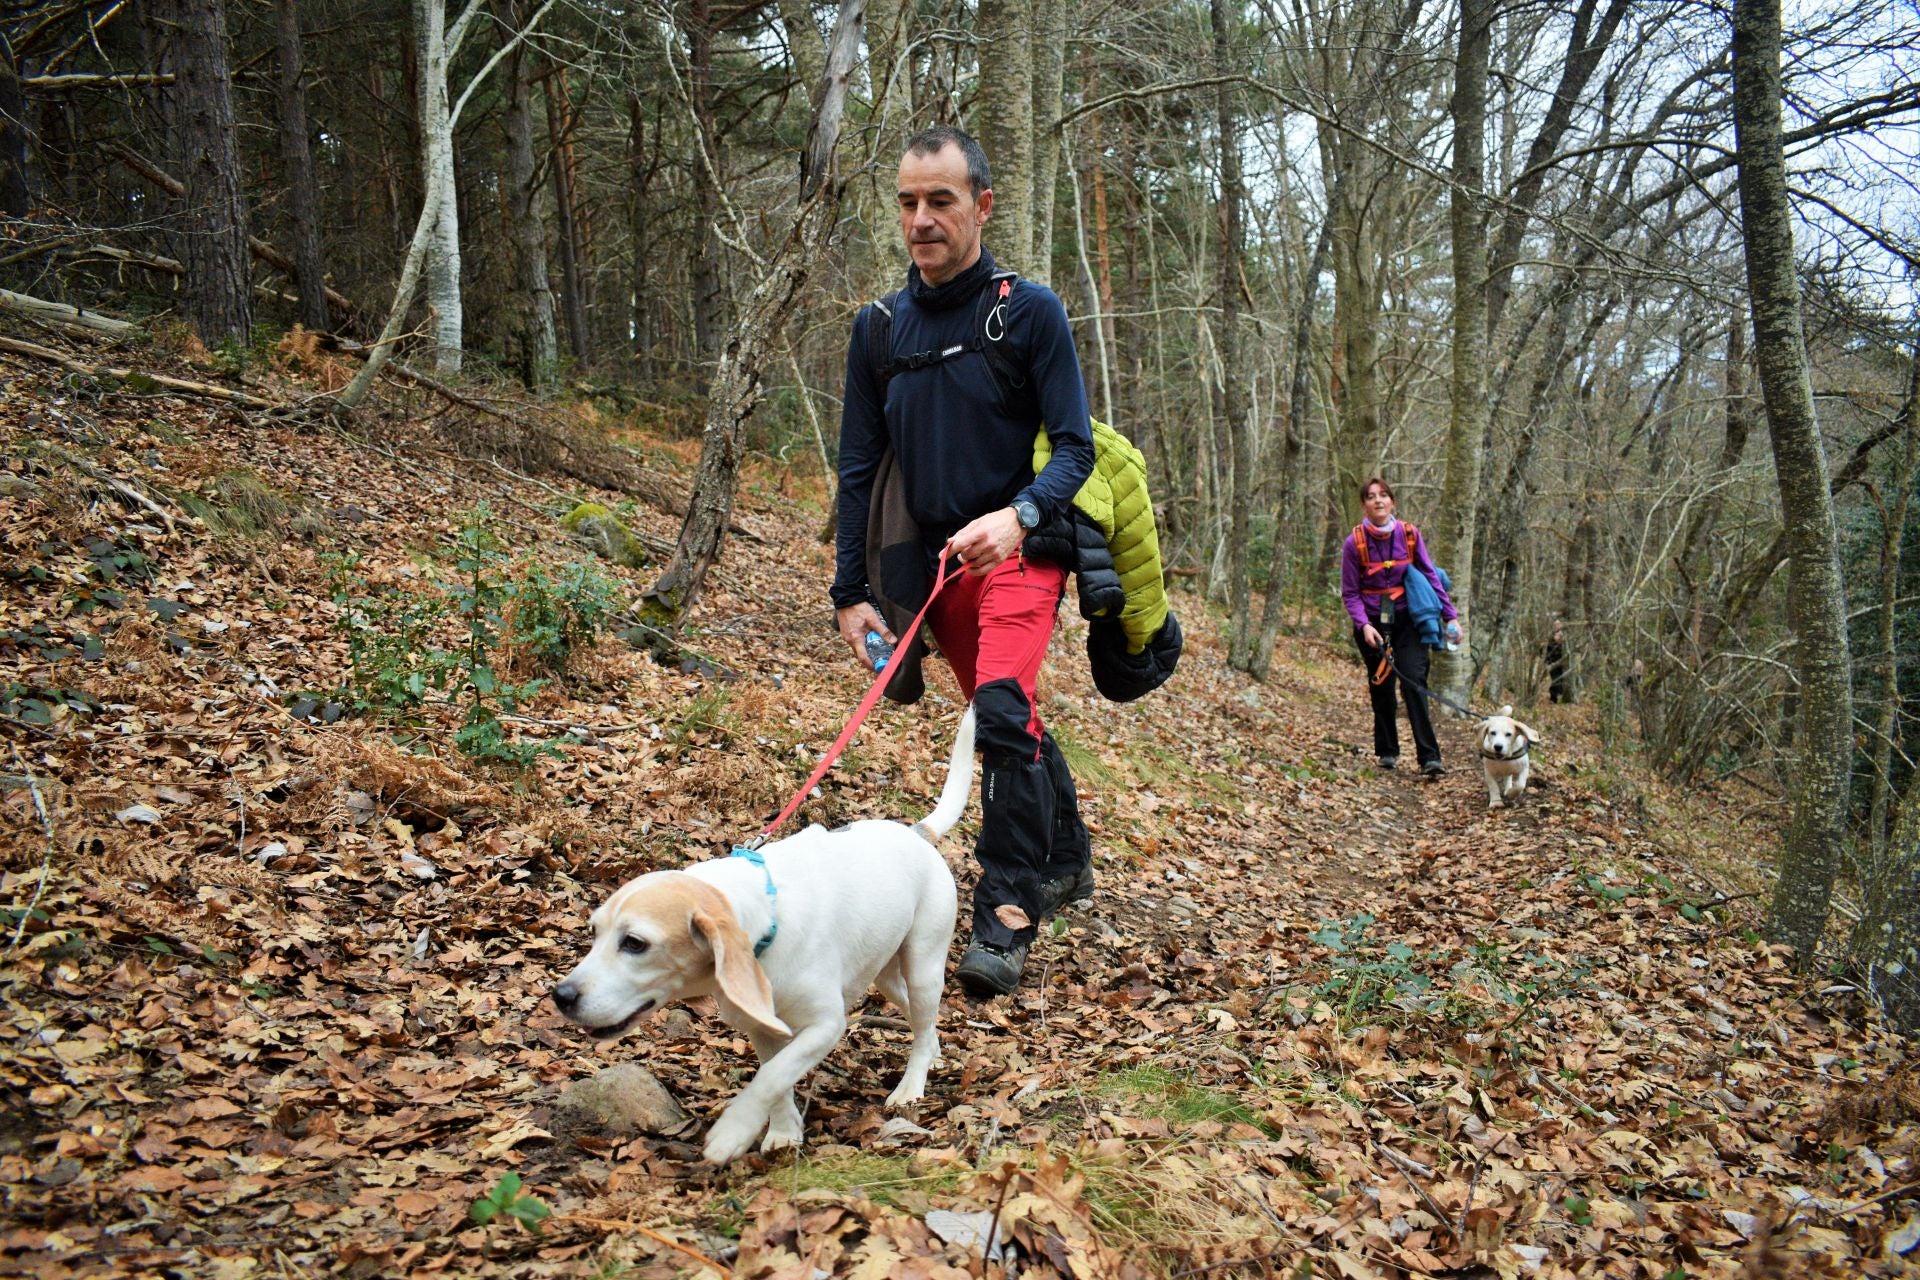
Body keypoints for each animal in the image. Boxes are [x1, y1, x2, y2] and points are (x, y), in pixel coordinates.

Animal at [552, 706, 975, 1166]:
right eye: (594, 932)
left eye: (635, 943)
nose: (562, 996)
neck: (768, 924)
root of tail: (916, 833)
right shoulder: (764, 1028)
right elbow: (776, 1080)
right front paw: (784, 1134)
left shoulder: (825, 1025)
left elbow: (771, 1076)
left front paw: (733, 1131)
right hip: (886, 975)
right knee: (921, 1022)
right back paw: (931, 1052)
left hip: (923, 967)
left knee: (923, 1017)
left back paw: (911, 1086)